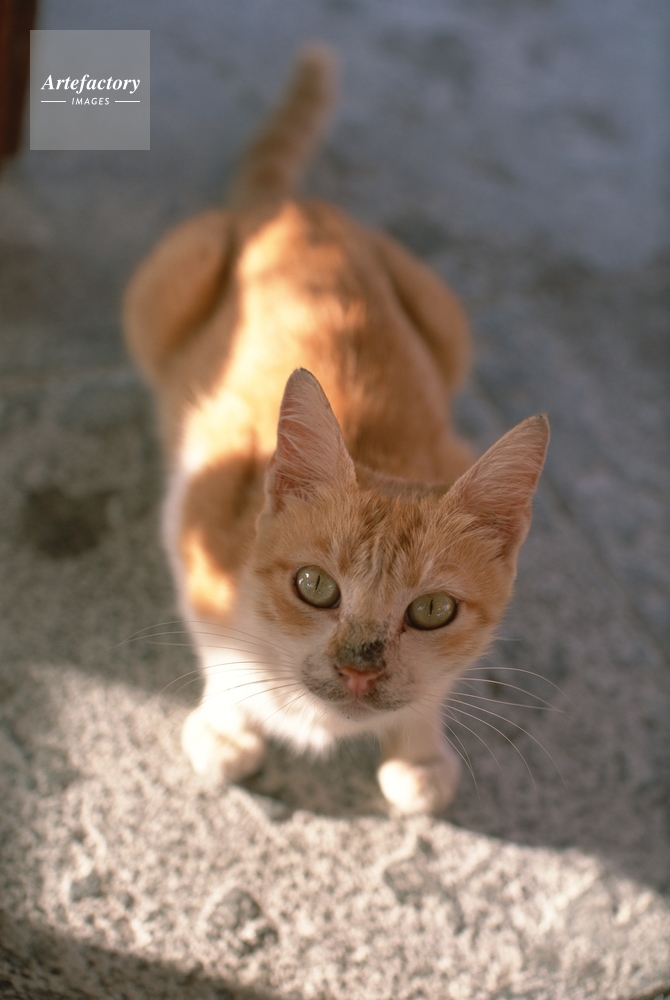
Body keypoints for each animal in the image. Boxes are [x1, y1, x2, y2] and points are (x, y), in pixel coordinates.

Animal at [123, 45, 549, 815]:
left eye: (433, 609)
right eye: (315, 587)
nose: (359, 670)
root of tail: (296, 208)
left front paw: (418, 748)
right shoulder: (195, 503)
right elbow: (215, 642)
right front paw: (228, 724)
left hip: (444, 320)